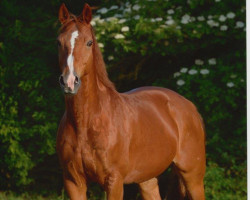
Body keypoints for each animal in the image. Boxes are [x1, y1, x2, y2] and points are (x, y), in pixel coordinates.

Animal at [56, 3, 205, 200]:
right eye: (59, 42)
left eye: (89, 43)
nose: (69, 82)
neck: (86, 123)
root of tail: (190, 107)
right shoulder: (73, 182)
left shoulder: (114, 181)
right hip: (147, 178)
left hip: (193, 177)